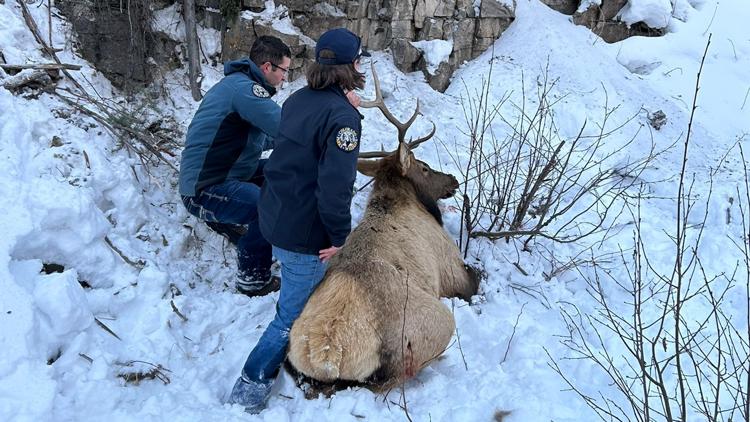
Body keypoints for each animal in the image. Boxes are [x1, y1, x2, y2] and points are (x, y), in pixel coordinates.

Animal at [288, 67, 482, 392]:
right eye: (424, 167)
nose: (453, 180)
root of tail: (327, 353)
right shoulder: (451, 266)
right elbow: (476, 278)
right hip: (436, 324)